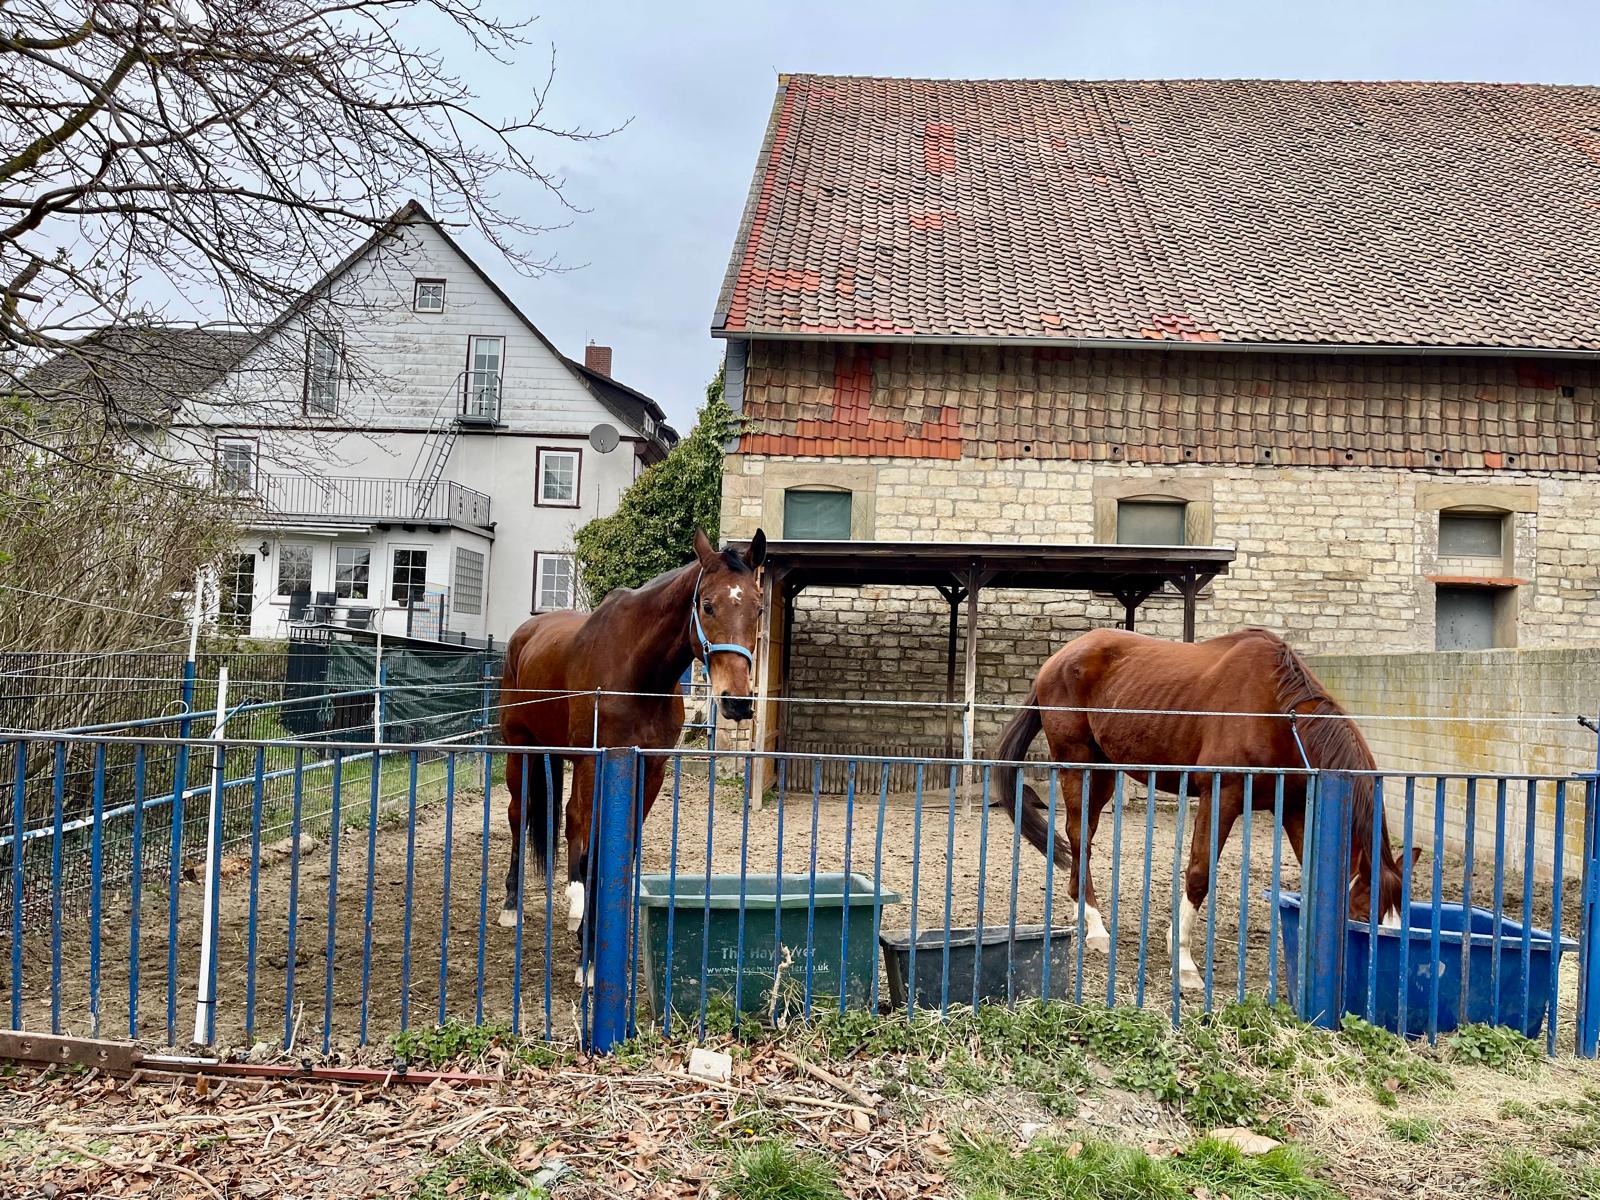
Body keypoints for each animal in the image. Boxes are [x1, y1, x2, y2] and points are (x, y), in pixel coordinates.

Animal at [498, 529, 767, 983]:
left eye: (758, 607)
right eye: (707, 604)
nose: (737, 701)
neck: (639, 673)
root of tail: (525, 632)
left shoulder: (649, 770)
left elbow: (621, 847)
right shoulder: (596, 762)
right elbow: (593, 848)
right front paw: (588, 957)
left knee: (567, 820)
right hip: (519, 748)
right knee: (521, 816)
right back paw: (512, 907)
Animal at [992, 626, 1418, 992]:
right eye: (1363, 917)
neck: (1279, 716)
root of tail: (1058, 659)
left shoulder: (1295, 808)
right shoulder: (1221, 794)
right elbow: (1199, 874)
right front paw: (1183, 963)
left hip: (1104, 771)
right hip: (1079, 765)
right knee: (1079, 838)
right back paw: (1096, 928)